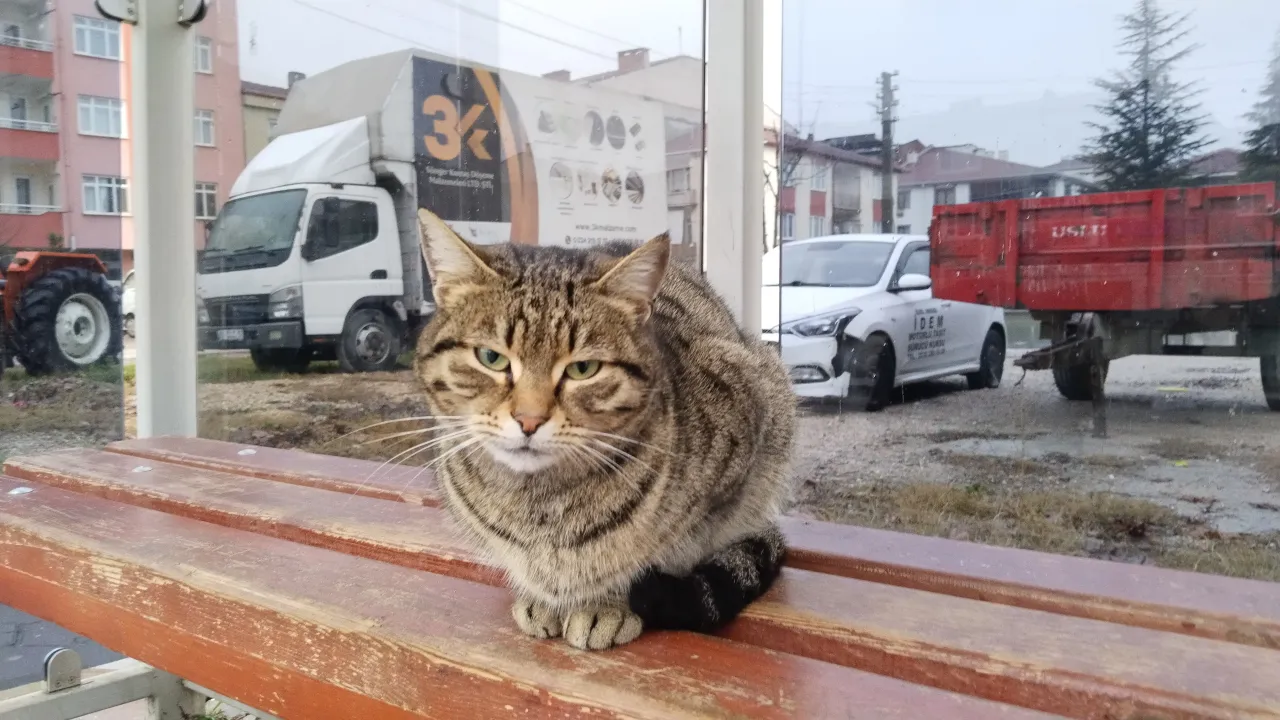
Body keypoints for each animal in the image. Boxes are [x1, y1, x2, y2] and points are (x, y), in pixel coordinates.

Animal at [412, 207, 788, 650]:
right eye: (491, 358)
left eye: (583, 369)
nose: (529, 420)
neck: (539, 503)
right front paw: (543, 598)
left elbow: (650, 555)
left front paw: (606, 604)